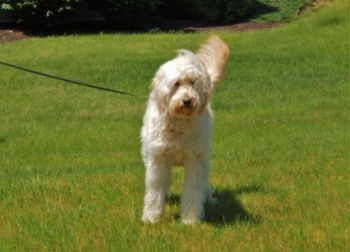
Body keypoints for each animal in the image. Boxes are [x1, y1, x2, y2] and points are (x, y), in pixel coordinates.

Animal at [141, 35, 228, 224]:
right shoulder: (158, 161)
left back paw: (209, 198)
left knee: (204, 182)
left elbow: (193, 191)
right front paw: (151, 217)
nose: (187, 101)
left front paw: (190, 219)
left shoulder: (195, 160)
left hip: (204, 156)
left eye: (193, 83)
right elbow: (155, 191)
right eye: (177, 83)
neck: (179, 123)